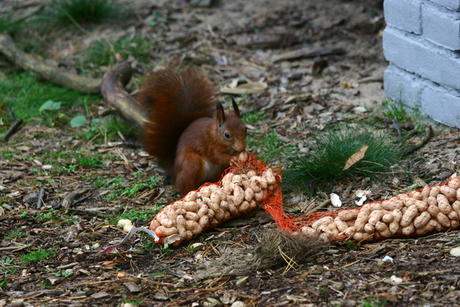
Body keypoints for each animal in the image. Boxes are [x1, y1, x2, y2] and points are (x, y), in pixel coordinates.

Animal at [135, 68, 246, 196]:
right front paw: (232, 159)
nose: (242, 147)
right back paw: (192, 191)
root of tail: (175, 171)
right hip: (191, 163)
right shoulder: (209, 144)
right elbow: (216, 155)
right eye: (227, 135)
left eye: (245, 129)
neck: (216, 135)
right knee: (184, 186)